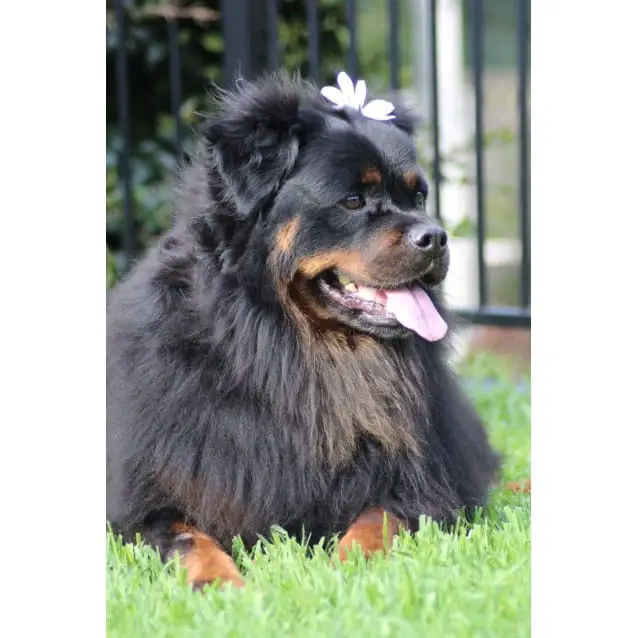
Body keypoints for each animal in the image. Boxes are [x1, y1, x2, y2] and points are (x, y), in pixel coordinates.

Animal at [107, 71, 502, 592]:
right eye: (353, 201)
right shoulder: (150, 491)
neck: (288, 345)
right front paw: (219, 585)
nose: (434, 236)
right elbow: (186, 536)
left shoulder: (419, 481)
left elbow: (379, 520)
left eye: (418, 197)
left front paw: (351, 568)